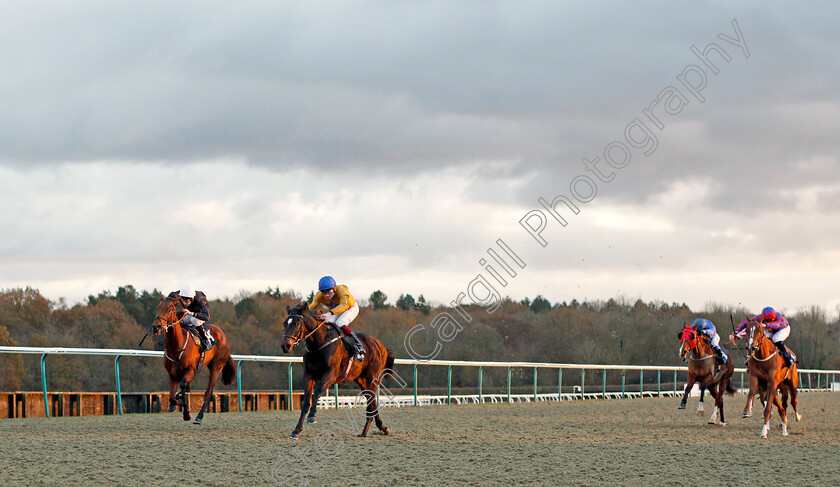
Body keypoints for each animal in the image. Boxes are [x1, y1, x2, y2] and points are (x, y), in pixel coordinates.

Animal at [152, 296, 235, 426]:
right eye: (158, 307)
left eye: (169, 309)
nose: (156, 327)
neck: (177, 346)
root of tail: (222, 334)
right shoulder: (172, 374)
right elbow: (172, 397)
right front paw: (178, 406)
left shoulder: (192, 371)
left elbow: (182, 388)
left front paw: (187, 412)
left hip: (216, 367)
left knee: (208, 394)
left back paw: (199, 417)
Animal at [280, 304, 396, 440]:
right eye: (285, 323)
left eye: (297, 323)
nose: (285, 346)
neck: (319, 343)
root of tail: (382, 347)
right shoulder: (308, 375)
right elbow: (306, 402)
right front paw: (296, 431)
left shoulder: (331, 375)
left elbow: (317, 392)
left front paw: (312, 416)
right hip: (362, 381)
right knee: (372, 401)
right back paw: (381, 428)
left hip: (372, 379)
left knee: (371, 402)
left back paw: (365, 431)